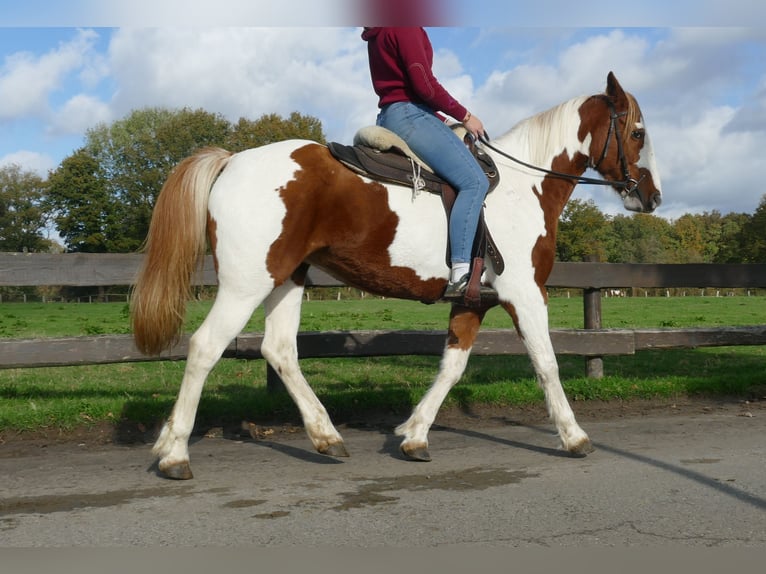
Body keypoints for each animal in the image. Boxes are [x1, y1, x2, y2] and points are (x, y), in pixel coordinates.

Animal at [130, 72, 660, 482]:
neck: (522, 187)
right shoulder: (525, 295)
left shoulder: (472, 301)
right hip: (246, 285)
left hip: (286, 280)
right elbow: (547, 366)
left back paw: (325, 436)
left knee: (279, 351)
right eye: (637, 133)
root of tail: (232, 161)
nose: (652, 197)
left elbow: (451, 368)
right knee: (204, 348)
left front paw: (414, 435)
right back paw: (175, 454)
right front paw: (574, 436)